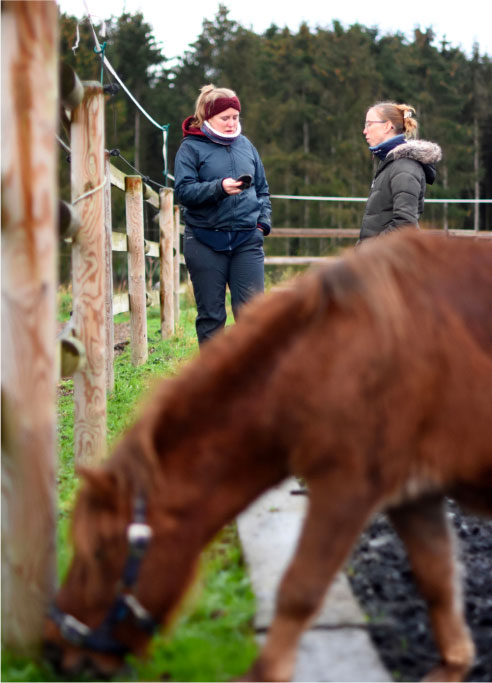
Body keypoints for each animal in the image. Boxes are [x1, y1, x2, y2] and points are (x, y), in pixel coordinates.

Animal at [44, 231, 490, 683]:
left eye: (100, 551)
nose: (53, 650)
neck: (329, 354)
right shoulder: (414, 496)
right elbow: (438, 579)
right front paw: (454, 664)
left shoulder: (348, 486)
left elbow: (300, 588)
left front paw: (266, 670)